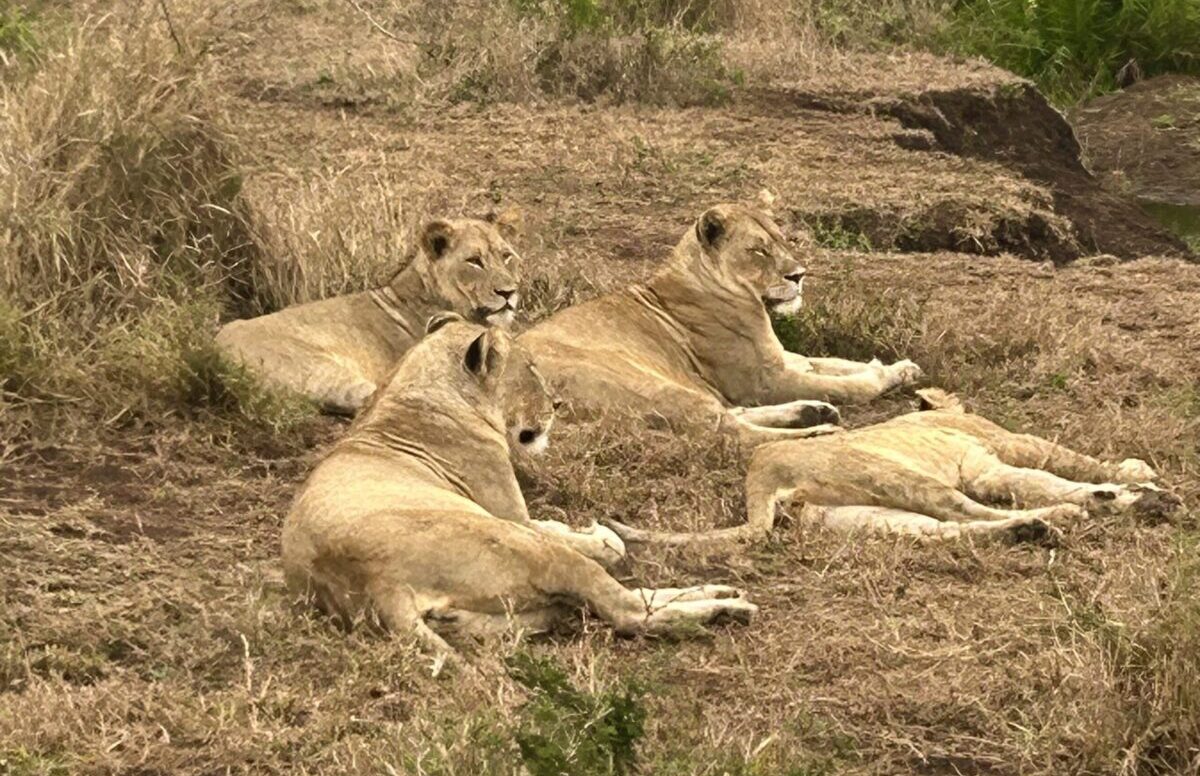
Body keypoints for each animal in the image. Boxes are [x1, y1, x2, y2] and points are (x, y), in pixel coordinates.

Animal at [280, 314, 757, 663]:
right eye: (529, 369)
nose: (558, 404)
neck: (410, 391)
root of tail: (377, 585)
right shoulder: (511, 515)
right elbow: (601, 546)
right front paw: (600, 537)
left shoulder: (517, 517)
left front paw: (588, 529)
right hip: (521, 546)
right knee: (627, 610)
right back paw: (725, 608)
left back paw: (720, 593)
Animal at [518, 203, 922, 443]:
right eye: (758, 250)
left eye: (783, 241)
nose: (799, 275)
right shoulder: (766, 381)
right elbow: (849, 386)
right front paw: (880, 375)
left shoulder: (785, 358)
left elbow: (835, 364)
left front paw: (900, 367)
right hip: (648, 384)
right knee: (729, 431)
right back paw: (819, 428)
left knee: (731, 415)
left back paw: (811, 412)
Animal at [608, 389, 1177, 547]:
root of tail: (760, 477)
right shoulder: (1007, 444)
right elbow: (1066, 463)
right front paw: (1134, 476)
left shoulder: (989, 465)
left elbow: (1038, 480)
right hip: (894, 476)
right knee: (964, 514)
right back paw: (1063, 518)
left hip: (860, 515)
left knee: (946, 531)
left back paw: (1036, 528)